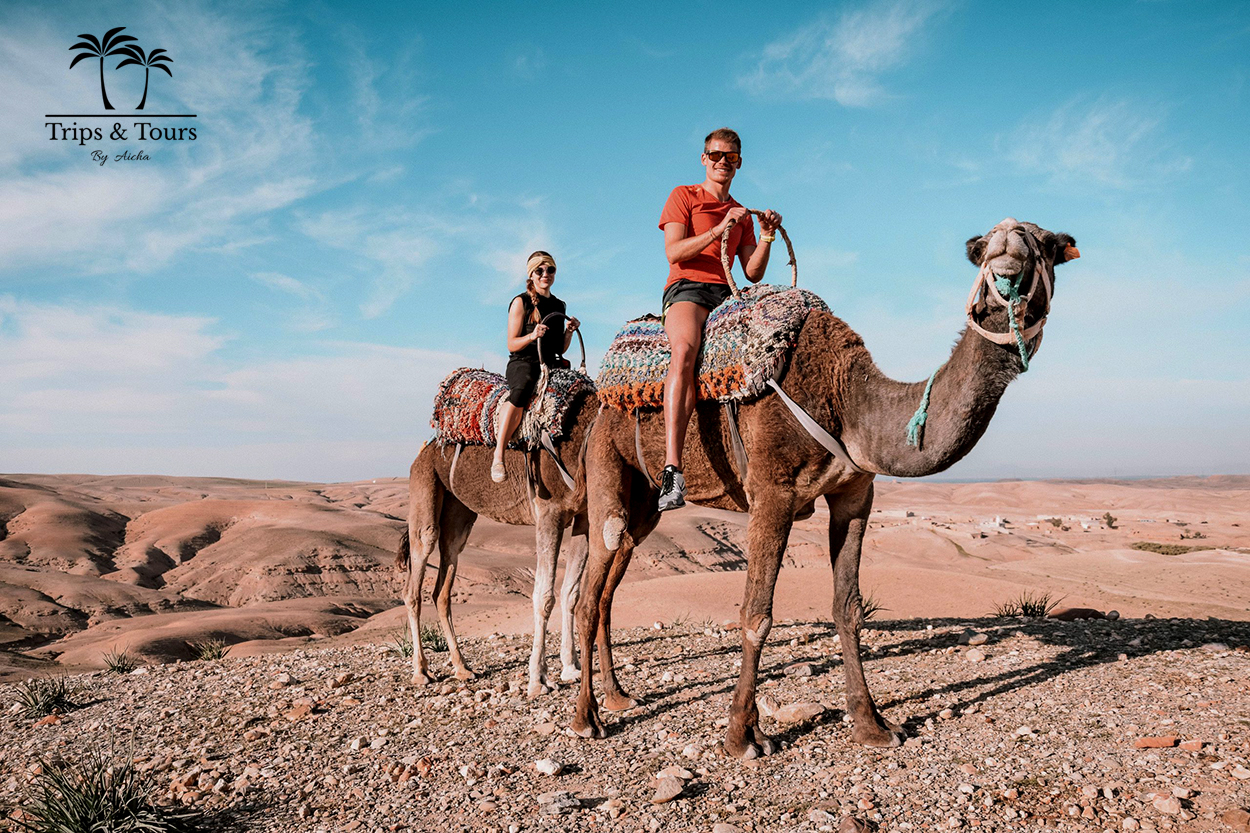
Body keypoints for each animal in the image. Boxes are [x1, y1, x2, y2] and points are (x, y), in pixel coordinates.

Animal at [397, 391, 596, 698]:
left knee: (443, 585)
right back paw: (421, 672)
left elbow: (570, 593)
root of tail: (425, 450)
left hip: (459, 512)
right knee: (415, 577)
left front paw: (571, 668)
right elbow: (545, 596)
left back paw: (463, 668)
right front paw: (539, 680)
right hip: (424, 485)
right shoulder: (550, 510)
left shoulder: (583, 515)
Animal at [572, 219, 1079, 757]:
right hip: (606, 463)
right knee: (592, 583)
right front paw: (742, 735)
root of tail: (603, 397)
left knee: (609, 587)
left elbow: (849, 609)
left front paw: (872, 724)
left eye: (1046, 244)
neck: (846, 399)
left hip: (645, 503)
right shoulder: (772, 492)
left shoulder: (855, 494)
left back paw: (618, 697)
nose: (1008, 248)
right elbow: (757, 614)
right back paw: (587, 718)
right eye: (982, 249)